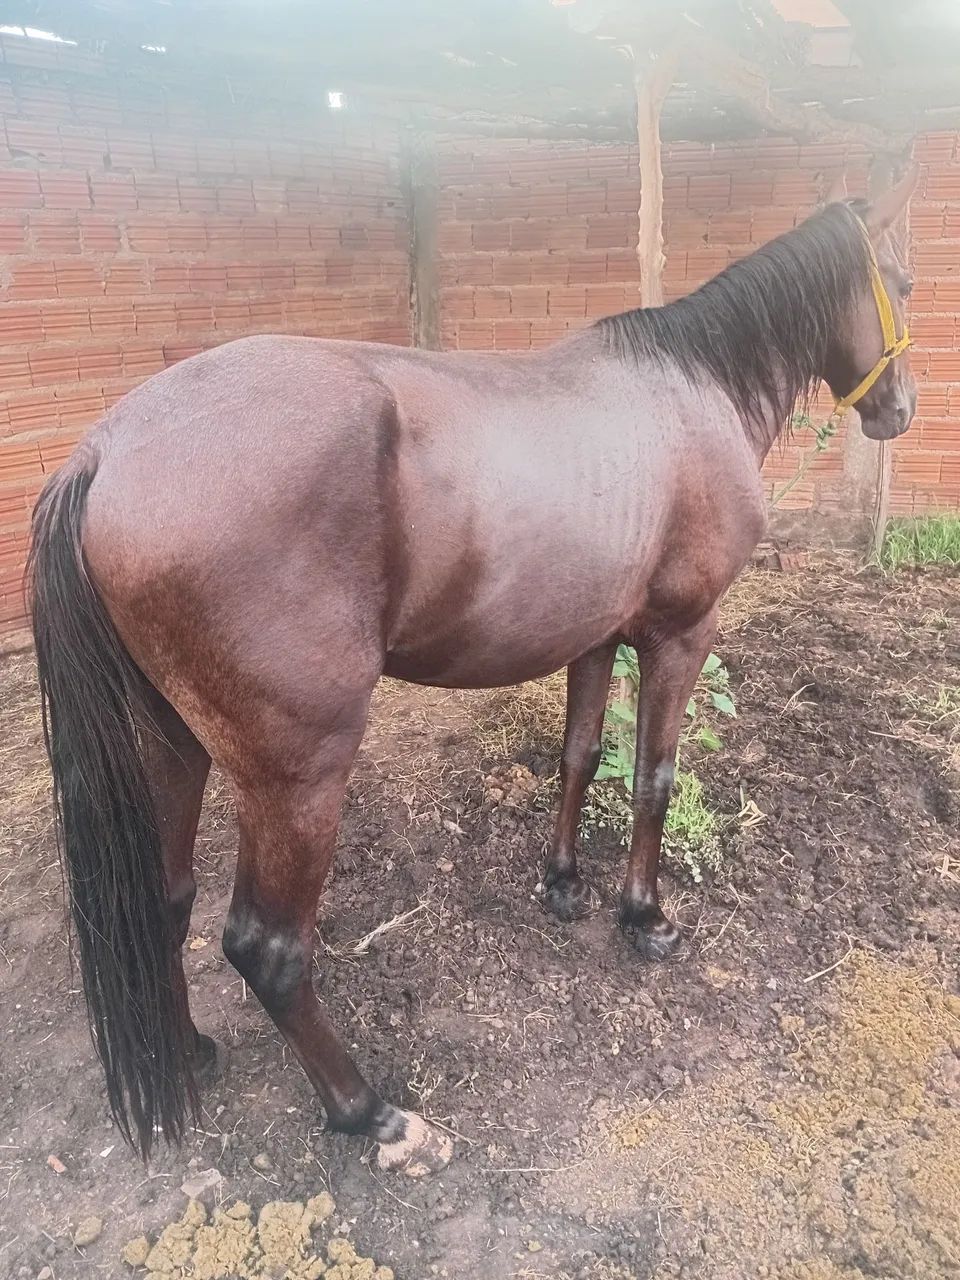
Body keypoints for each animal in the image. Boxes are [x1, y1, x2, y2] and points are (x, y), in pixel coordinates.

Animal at [28, 170, 917, 1176]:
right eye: (905, 283)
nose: (901, 409)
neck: (690, 390)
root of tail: (106, 452)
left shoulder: (595, 639)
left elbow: (578, 758)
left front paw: (564, 886)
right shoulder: (679, 636)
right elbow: (652, 779)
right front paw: (644, 918)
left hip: (171, 745)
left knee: (162, 900)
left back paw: (188, 1052)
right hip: (297, 778)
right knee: (269, 949)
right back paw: (370, 1112)